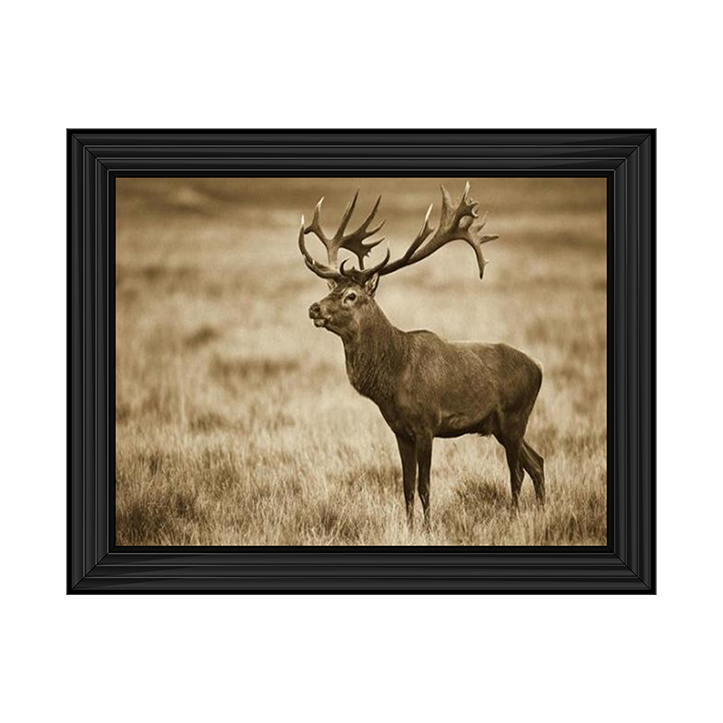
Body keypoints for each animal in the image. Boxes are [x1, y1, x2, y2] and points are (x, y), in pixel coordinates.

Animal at [299, 183, 545, 530]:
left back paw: (513, 518)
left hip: (514, 416)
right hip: (500, 425)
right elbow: (406, 486)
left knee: (518, 472)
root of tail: (539, 368)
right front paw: (409, 526)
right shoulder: (400, 431)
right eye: (330, 289)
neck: (392, 377)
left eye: (351, 296)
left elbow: (425, 485)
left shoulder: (427, 424)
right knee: (537, 462)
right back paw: (542, 512)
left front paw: (427, 529)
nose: (314, 308)